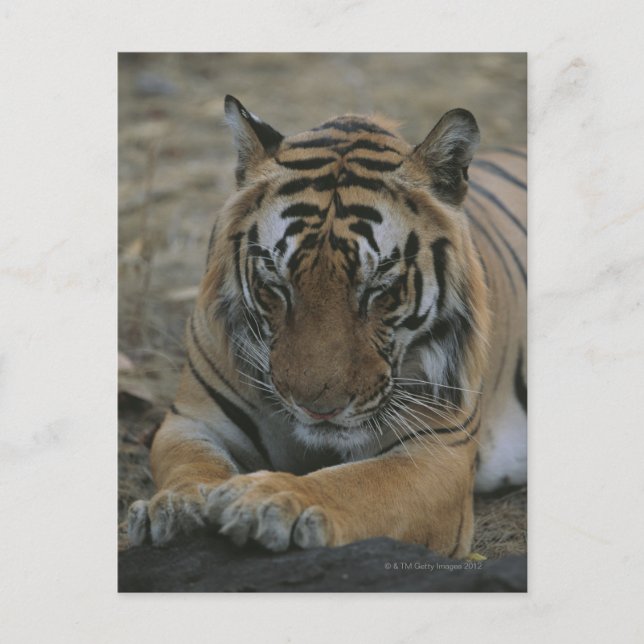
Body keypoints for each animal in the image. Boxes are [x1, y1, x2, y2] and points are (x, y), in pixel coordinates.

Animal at [127, 95, 526, 558]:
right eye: (276, 286)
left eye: (378, 290)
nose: (319, 409)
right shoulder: (191, 420)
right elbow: (191, 465)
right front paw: (174, 507)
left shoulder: (439, 450)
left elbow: (356, 484)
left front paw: (270, 499)